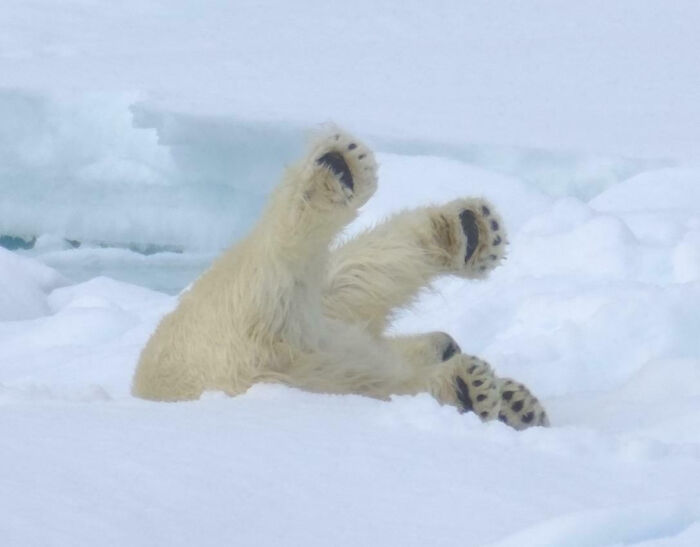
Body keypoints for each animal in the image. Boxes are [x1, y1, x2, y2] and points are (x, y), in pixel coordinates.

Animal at [132, 128, 548, 430]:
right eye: (449, 347)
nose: (450, 343)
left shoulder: (328, 325)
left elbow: (355, 281)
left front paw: (518, 401)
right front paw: (488, 391)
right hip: (223, 328)